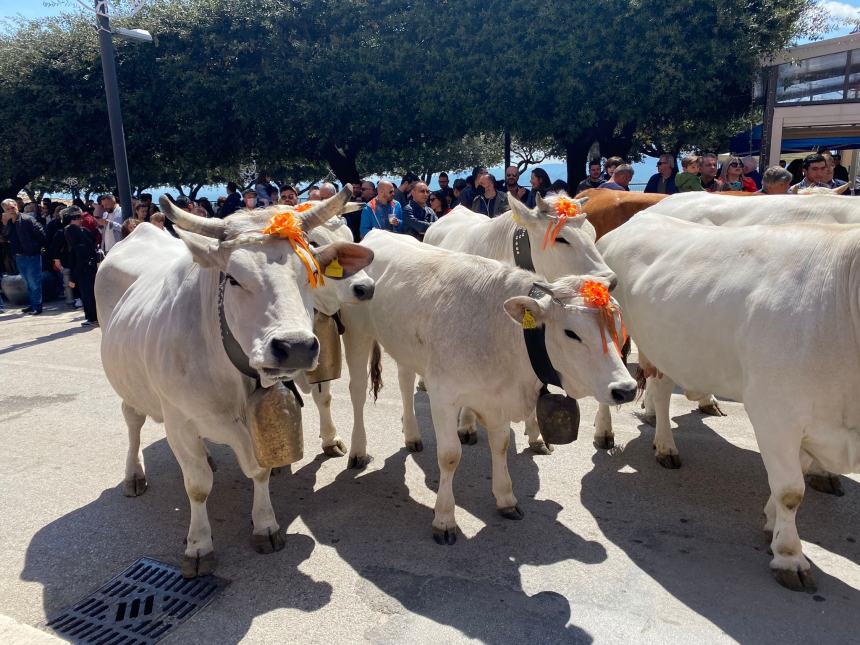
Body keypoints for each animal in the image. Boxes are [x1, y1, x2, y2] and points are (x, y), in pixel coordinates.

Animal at [97, 189, 372, 576]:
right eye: (234, 279)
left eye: (310, 272)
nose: (295, 346)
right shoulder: (179, 420)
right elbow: (197, 486)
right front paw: (199, 545)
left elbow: (260, 468)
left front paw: (265, 523)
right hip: (130, 385)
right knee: (133, 422)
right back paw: (134, 475)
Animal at [336, 231, 640, 544]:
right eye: (571, 333)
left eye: (616, 325)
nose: (626, 388)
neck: (499, 333)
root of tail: (377, 233)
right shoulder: (443, 395)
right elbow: (449, 456)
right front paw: (444, 519)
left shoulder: (496, 398)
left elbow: (501, 445)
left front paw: (506, 498)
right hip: (356, 335)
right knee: (357, 392)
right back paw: (358, 451)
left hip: (404, 348)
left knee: (405, 383)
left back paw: (412, 435)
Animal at [596, 210, 860, 588]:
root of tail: (641, 217)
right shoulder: (774, 411)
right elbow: (791, 491)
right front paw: (790, 557)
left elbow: (796, 476)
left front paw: (770, 522)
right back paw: (605, 433)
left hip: (665, 346)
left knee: (661, 392)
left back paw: (665, 446)